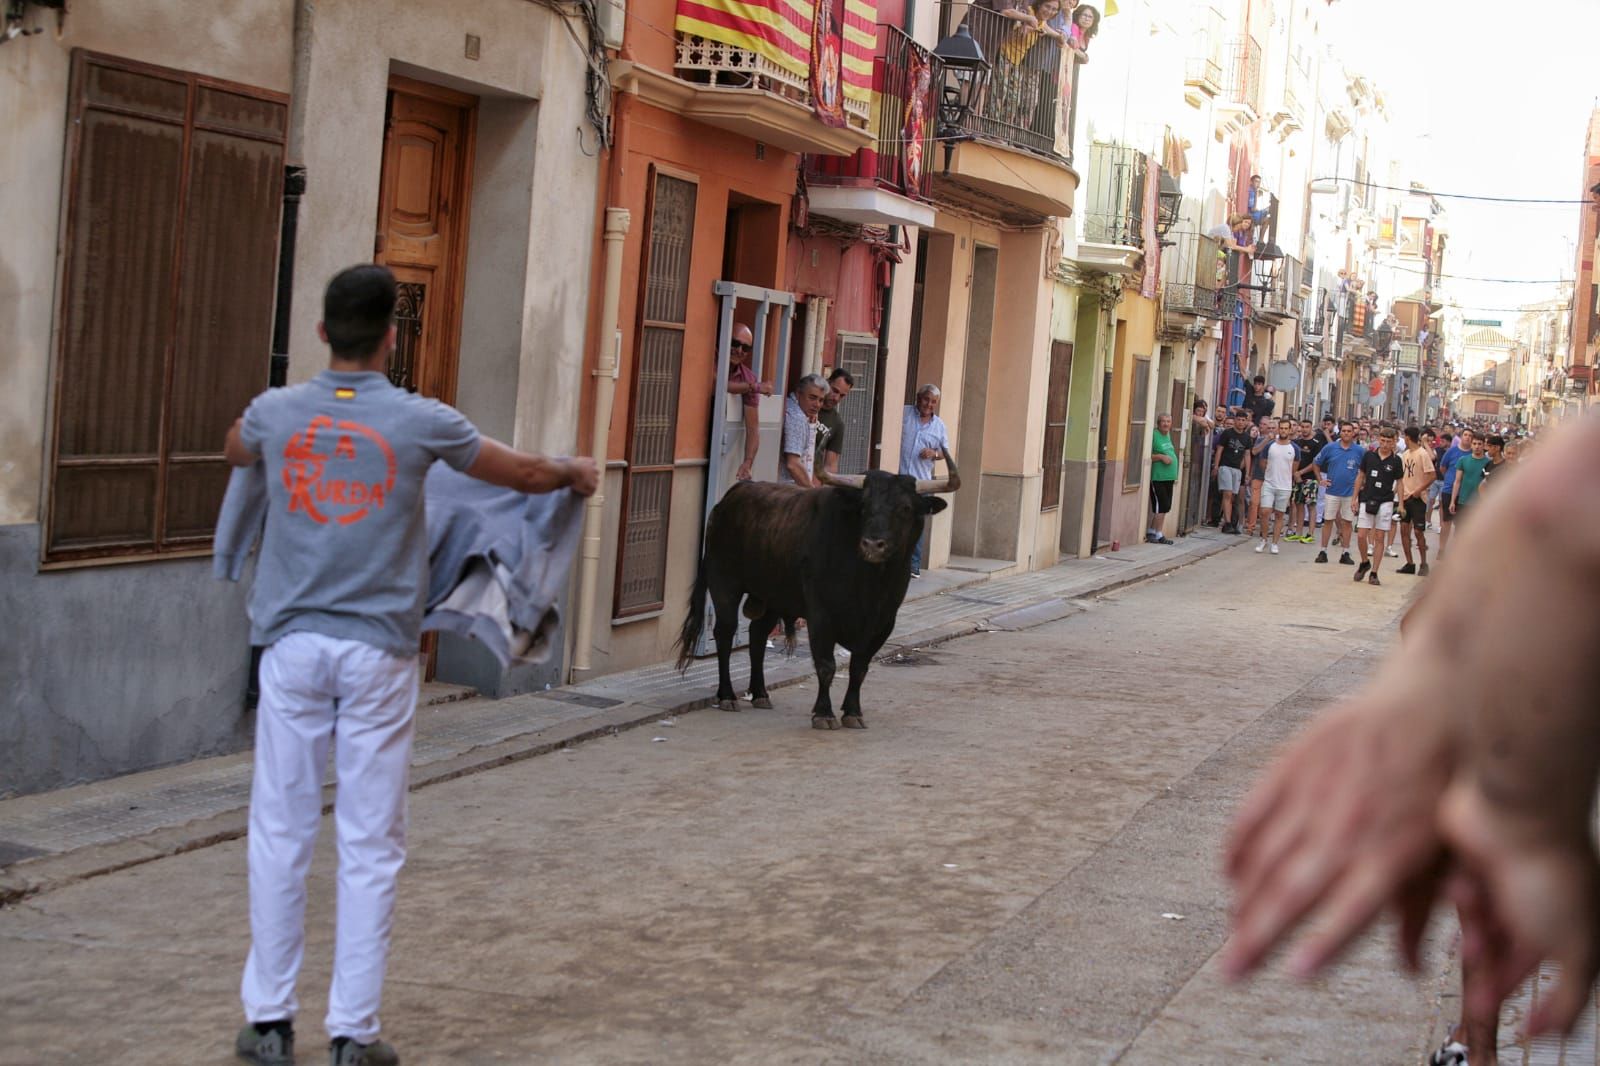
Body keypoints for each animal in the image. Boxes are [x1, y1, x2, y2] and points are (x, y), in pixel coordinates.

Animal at [678, 448, 960, 729]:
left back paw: (760, 694)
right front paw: (824, 713)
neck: (869, 583)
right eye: (864, 506)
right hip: (724, 582)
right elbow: (826, 666)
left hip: (773, 595)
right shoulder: (822, 616)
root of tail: (731, 497)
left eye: (905, 508)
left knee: (757, 635)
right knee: (725, 633)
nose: (872, 544)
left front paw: (853, 711)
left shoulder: (882, 623)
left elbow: (859, 668)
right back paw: (727, 696)